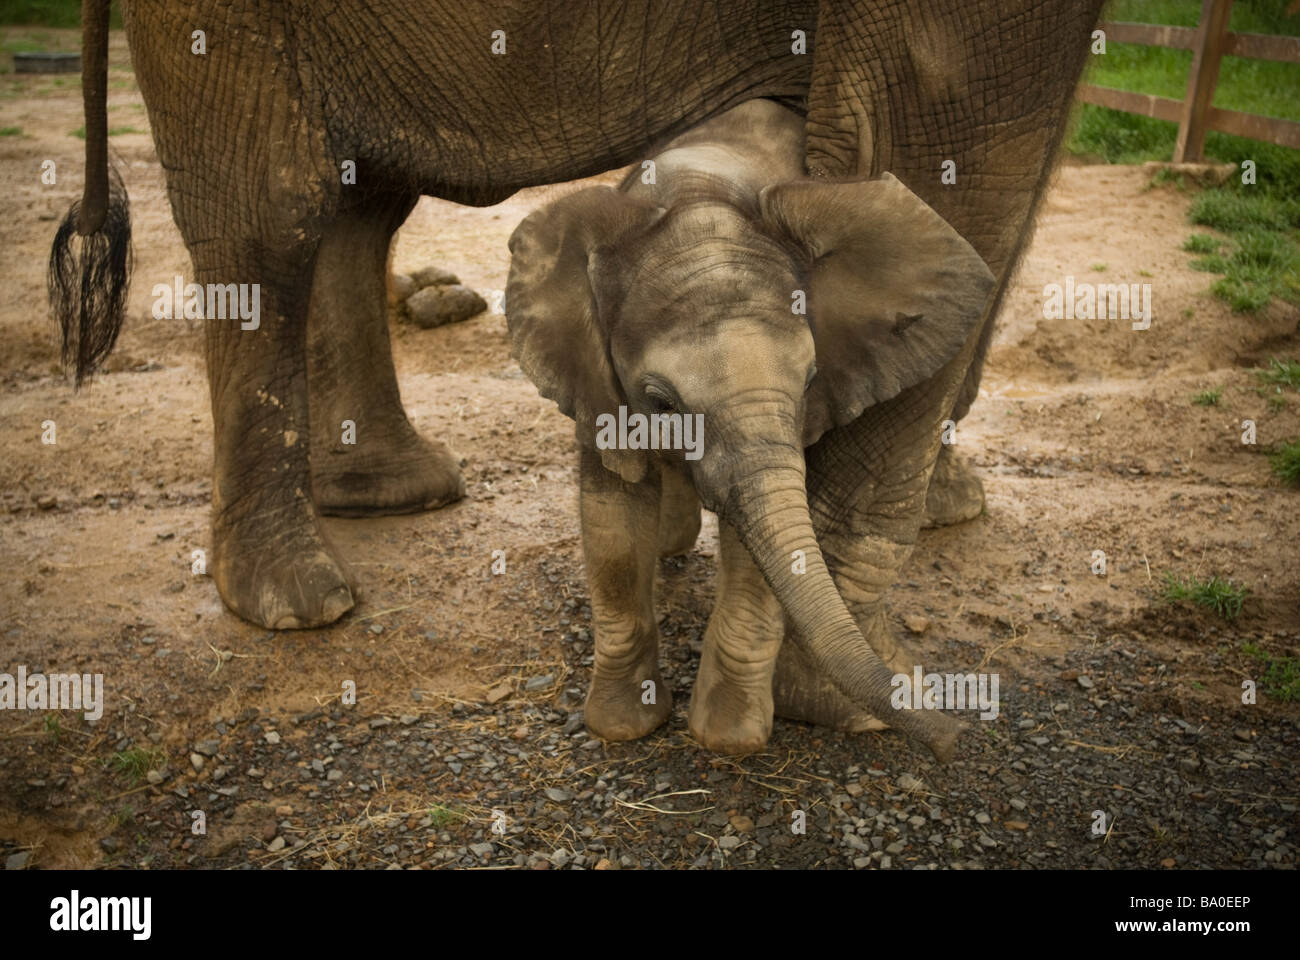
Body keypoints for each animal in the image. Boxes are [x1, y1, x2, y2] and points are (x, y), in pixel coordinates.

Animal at [55, 1, 1102, 629]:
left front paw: (939, 510)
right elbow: (944, 112)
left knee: (359, 202)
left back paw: (389, 493)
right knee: (275, 207)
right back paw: (298, 602)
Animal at [501, 97, 987, 754]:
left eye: (810, 381)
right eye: (660, 402)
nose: (954, 736)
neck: (698, 191)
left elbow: (762, 533)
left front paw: (727, 740)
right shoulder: (592, 375)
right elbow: (612, 520)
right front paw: (624, 727)